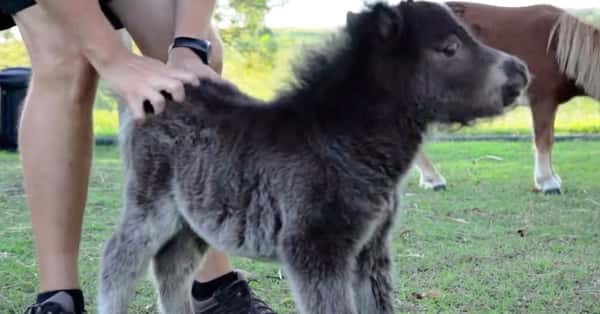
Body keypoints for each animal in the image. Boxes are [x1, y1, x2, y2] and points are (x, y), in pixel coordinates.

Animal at [98, 1, 528, 312]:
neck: (343, 141)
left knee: (172, 267)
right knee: (118, 260)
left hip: (193, 215)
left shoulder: (371, 251)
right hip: (151, 201)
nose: (521, 73)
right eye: (450, 48)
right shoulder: (315, 249)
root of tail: (156, 92)